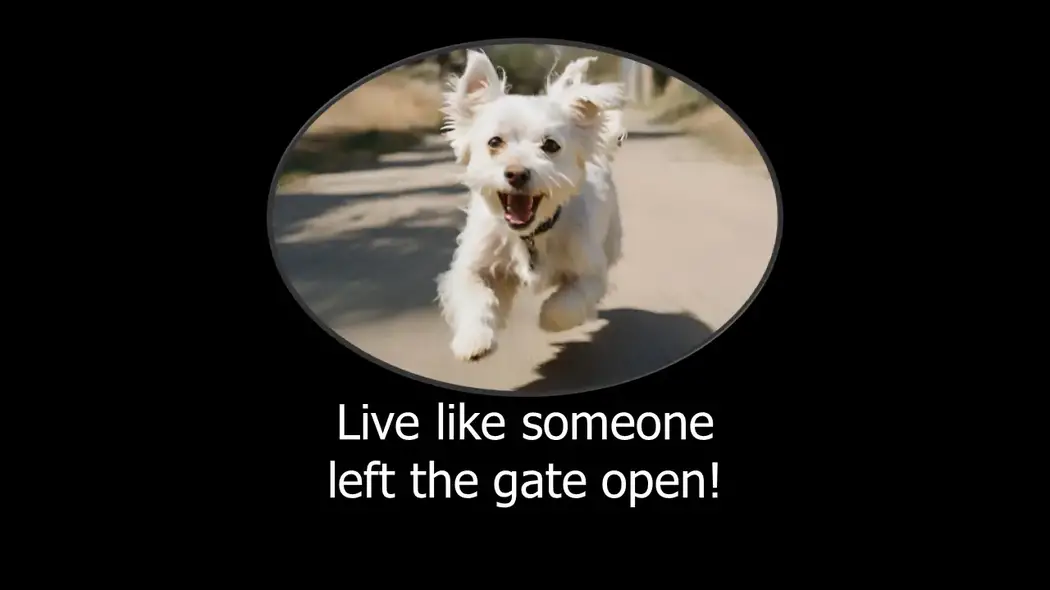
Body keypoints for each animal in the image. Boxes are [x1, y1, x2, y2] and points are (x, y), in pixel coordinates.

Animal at [432, 50, 621, 361]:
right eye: (494, 142)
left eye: (551, 145)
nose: (517, 173)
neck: (530, 235)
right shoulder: (473, 265)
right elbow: (474, 296)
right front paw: (474, 338)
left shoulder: (591, 271)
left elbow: (569, 301)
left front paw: (550, 318)